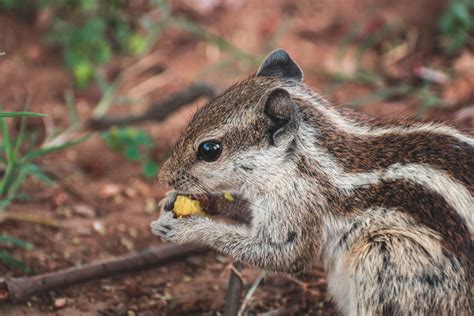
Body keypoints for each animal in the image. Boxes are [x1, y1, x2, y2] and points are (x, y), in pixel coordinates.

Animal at [152, 48, 474, 314]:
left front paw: (189, 229)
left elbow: (285, 255)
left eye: (210, 150)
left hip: (386, 256)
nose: (162, 176)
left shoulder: (295, 205)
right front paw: (192, 201)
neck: (304, 158)